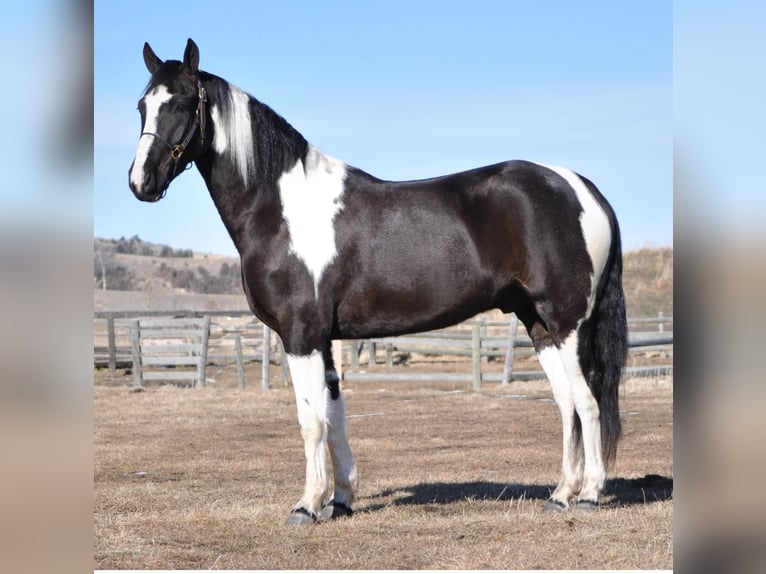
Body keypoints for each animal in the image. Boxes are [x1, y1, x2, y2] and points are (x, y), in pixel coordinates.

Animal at [128, 39, 627, 525]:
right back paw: (561, 495)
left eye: (182, 103)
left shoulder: (300, 335)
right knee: (566, 404)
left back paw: (589, 495)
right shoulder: (325, 339)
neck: (281, 209)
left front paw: (306, 506)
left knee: (588, 402)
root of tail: (582, 190)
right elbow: (335, 417)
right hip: (539, 325)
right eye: (141, 106)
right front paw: (340, 500)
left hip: (567, 323)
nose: (140, 183)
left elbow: (310, 420)